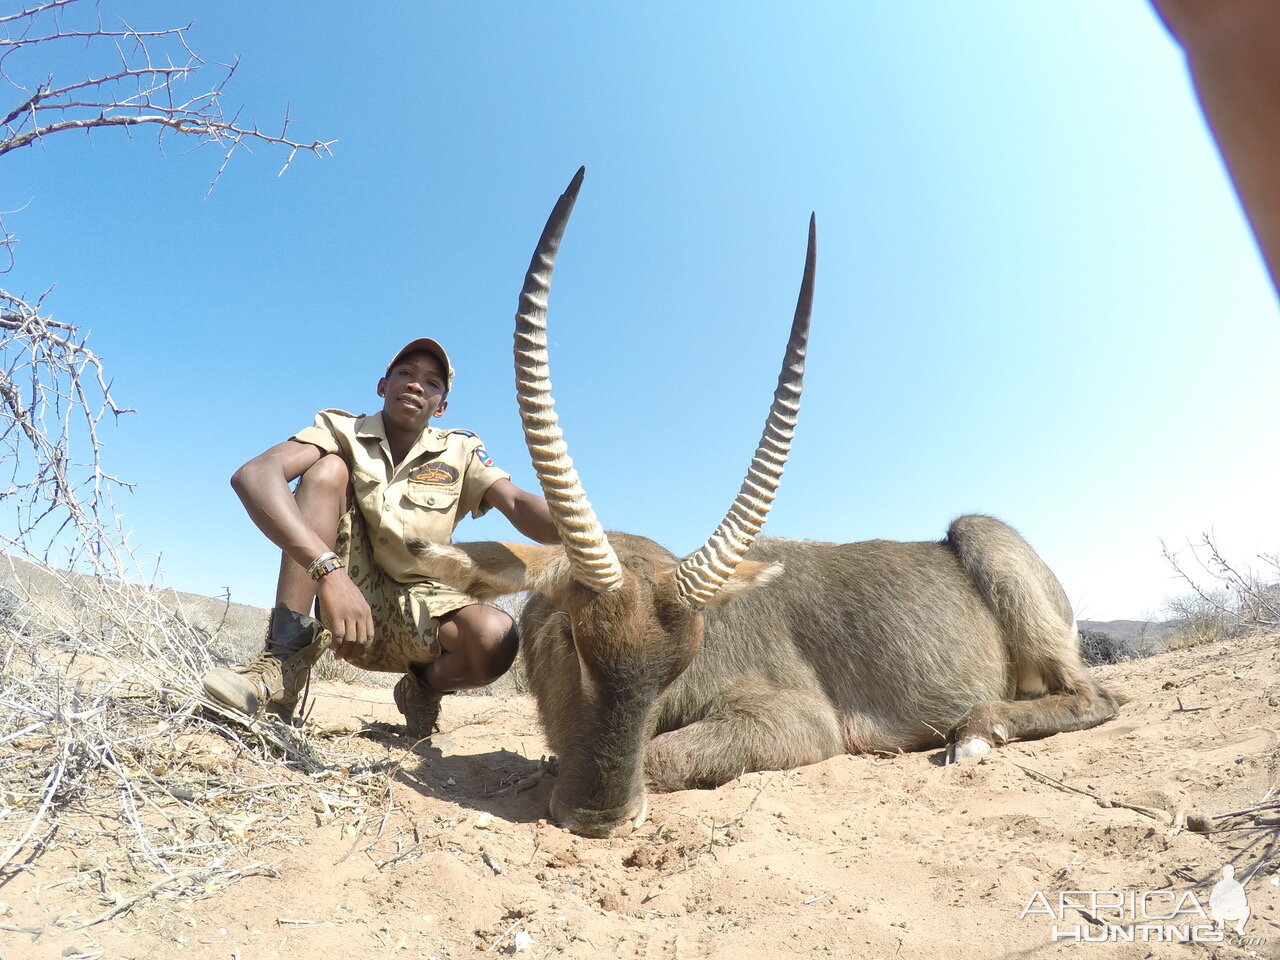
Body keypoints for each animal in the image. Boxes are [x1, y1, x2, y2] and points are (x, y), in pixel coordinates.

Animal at [412, 168, 1121, 839]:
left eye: (677, 668)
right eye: (570, 638)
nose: (599, 818)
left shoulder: (802, 720)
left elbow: (665, 755)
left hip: (986, 541)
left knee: (1097, 696)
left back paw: (973, 731)